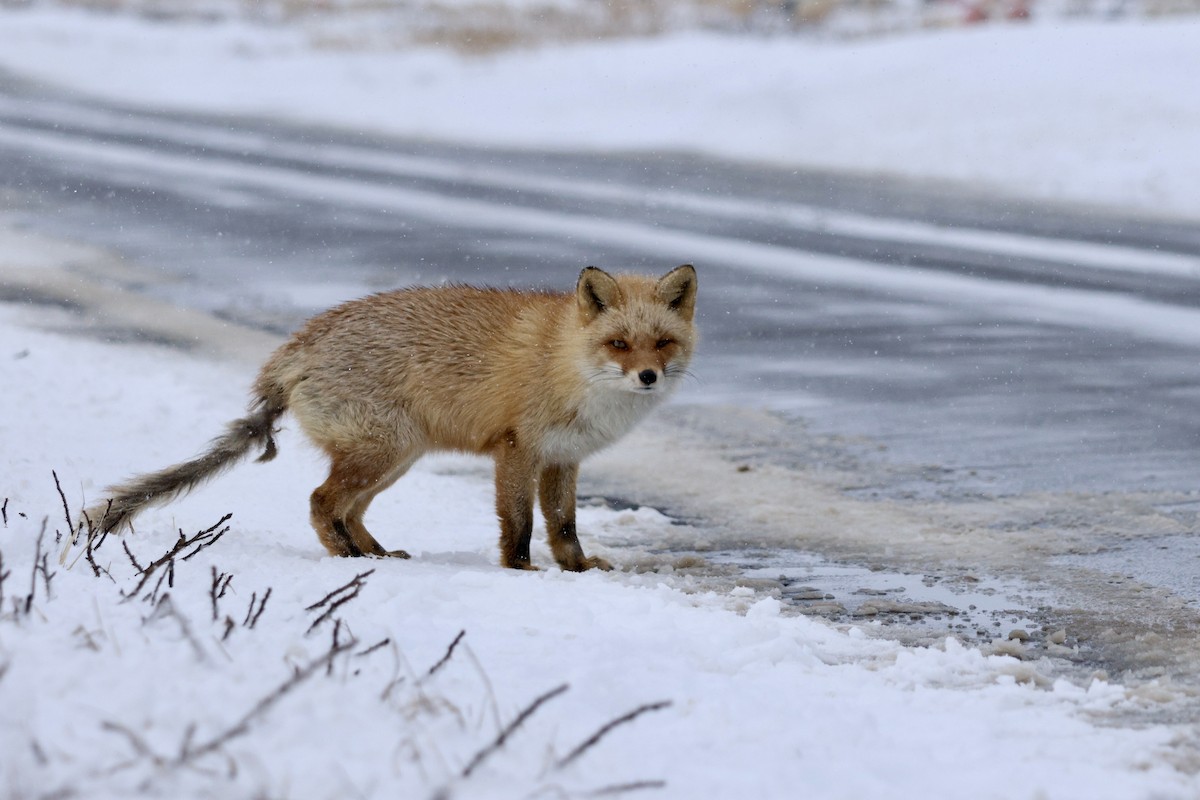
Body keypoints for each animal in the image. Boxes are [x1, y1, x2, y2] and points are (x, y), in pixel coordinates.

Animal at [83, 264, 697, 571]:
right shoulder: (517, 450)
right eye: (619, 344)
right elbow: (520, 525)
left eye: (662, 343)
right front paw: (521, 572)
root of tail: (298, 344)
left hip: (395, 459)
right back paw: (348, 560)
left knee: (347, 510)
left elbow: (564, 527)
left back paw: (375, 554)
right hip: (383, 452)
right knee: (320, 502)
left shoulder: (563, 458)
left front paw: (578, 569)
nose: (648, 377)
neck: (566, 362)